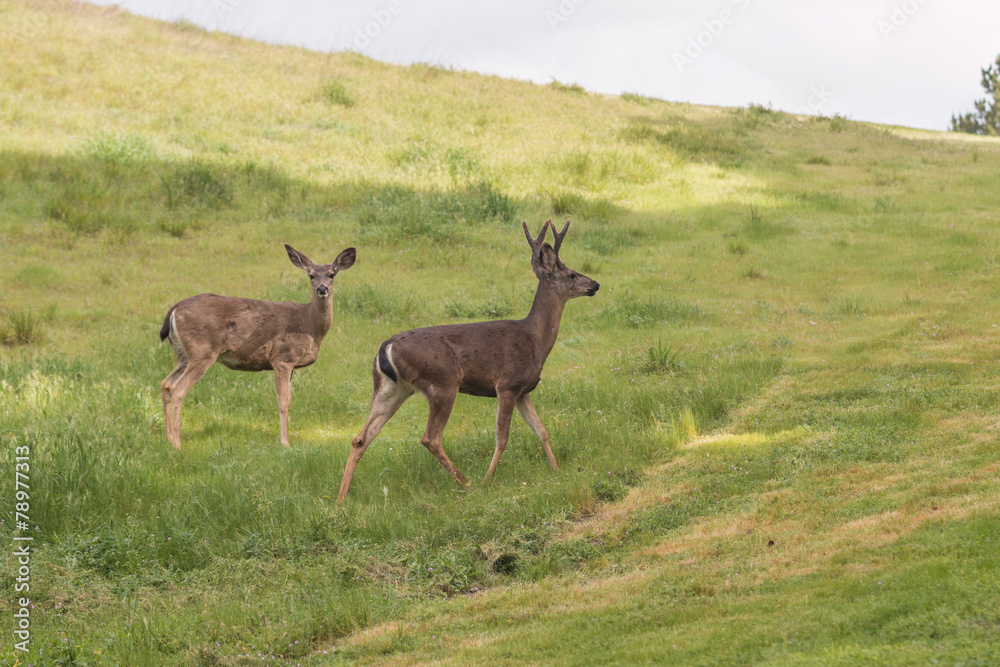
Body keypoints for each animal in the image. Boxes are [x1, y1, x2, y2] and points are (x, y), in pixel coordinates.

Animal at [159, 244, 356, 450]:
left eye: (332, 274)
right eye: (311, 275)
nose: (322, 288)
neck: (309, 325)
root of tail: (174, 310)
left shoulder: (291, 365)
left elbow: (289, 400)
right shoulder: (282, 357)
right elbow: (283, 402)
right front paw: (285, 443)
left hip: (184, 355)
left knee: (166, 383)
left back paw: (169, 438)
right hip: (202, 351)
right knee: (178, 389)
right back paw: (177, 444)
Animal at [337, 219, 598, 501]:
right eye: (572, 274)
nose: (595, 285)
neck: (535, 340)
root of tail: (386, 347)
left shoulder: (524, 391)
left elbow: (542, 431)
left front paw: (556, 470)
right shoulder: (507, 384)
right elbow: (502, 437)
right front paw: (488, 480)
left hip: (392, 388)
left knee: (361, 437)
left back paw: (341, 498)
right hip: (443, 382)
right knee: (430, 437)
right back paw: (468, 484)